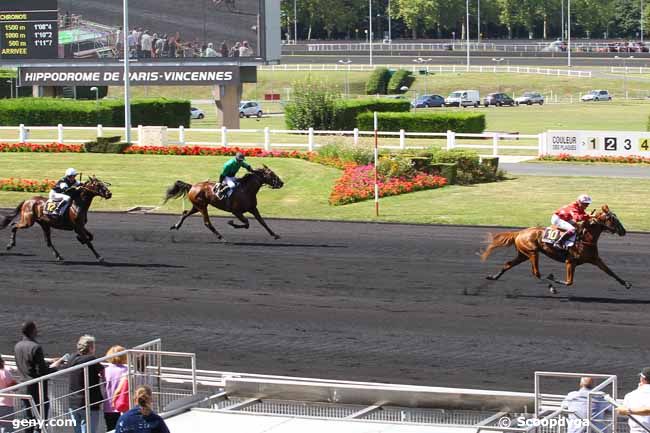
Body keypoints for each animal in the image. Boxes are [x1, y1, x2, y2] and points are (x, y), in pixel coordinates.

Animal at [480, 203, 628, 292]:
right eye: (613, 219)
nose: (623, 231)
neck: (585, 238)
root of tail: (519, 233)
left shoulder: (595, 259)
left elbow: (610, 272)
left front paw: (626, 283)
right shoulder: (570, 262)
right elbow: (569, 282)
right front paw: (552, 278)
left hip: (523, 254)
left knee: (508, 264)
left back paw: (493, 277)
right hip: (532, 253)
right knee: (536, 273)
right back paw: (551, 286)